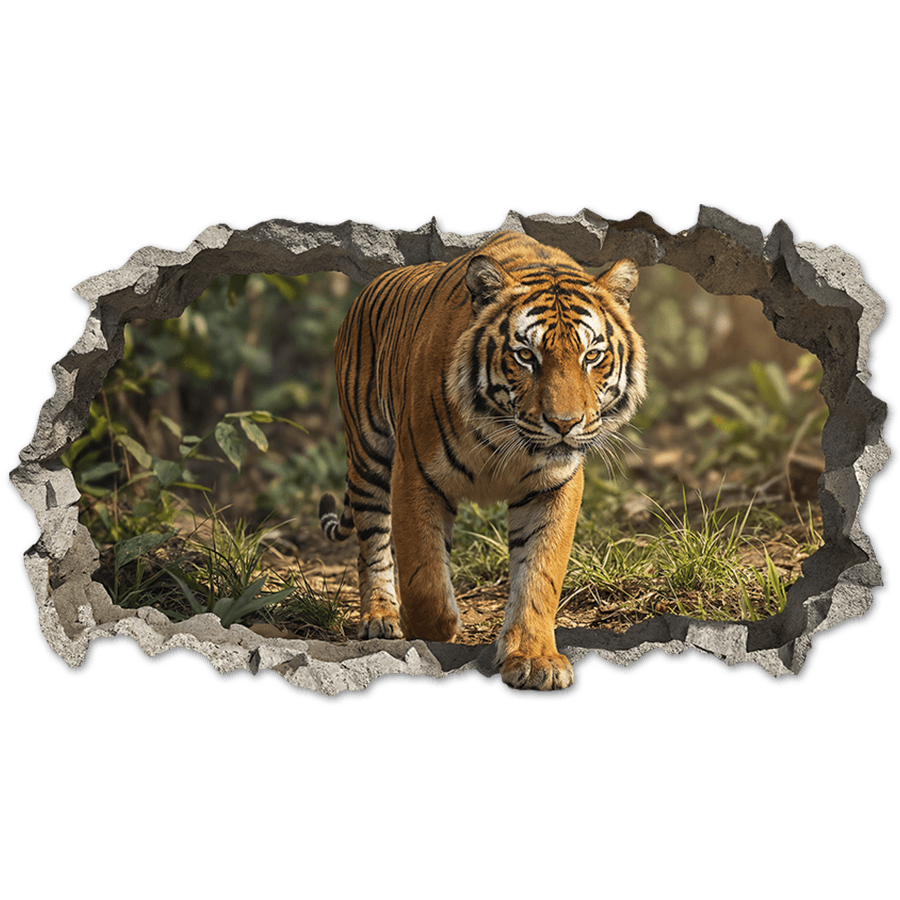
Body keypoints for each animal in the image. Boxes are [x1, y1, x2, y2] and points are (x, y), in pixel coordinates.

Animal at [318, 231, 647, 691]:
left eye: (591, 356)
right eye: (526, 356)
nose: (564, 424)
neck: (506, 437)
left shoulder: (554, 487)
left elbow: (539, 577)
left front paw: (535, 659)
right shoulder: (415, 474)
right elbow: (424, 579)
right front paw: (428, 633)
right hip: (368, 454)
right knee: (373, 544)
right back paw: (380, 617)